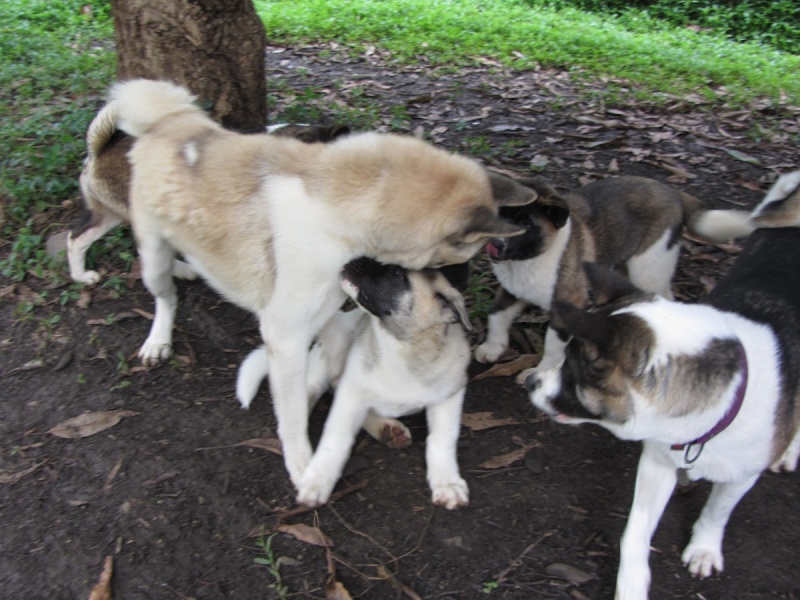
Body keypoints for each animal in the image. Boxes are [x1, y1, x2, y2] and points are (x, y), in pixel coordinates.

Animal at [238, 255, 476, 508]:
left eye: (396, 272)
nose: (355, 257)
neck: (400, 349)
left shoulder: (450, 395)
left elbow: (443, 439)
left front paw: (448, 482)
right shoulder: (351, 394)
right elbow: (335, 440)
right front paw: (317, 481)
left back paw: (388, 429)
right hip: (326, 363)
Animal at [524, 169, 800, 600]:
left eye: (573, 369)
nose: (531, 381)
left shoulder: (741, 478)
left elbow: (717, 511)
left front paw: (704, 547)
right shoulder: (655, 462)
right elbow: (634, 534)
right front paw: (631, 586)